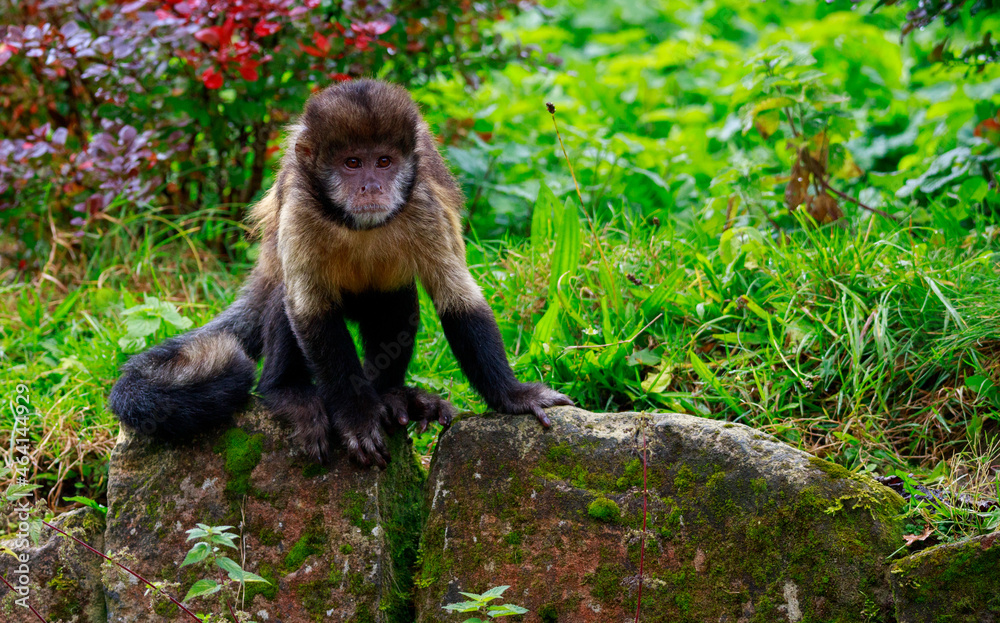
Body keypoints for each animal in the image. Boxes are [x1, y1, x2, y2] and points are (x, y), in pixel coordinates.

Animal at [108, 79, 572, 468]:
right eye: (352, 163)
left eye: (383, 162)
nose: (371, 186)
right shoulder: (299, 208)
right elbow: (309, 313)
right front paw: (355, 418)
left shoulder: (422, 204)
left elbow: (457, 299)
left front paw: (512, 396)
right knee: (283, 297)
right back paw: (286, 392)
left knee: (396, 295)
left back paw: (390, 395)